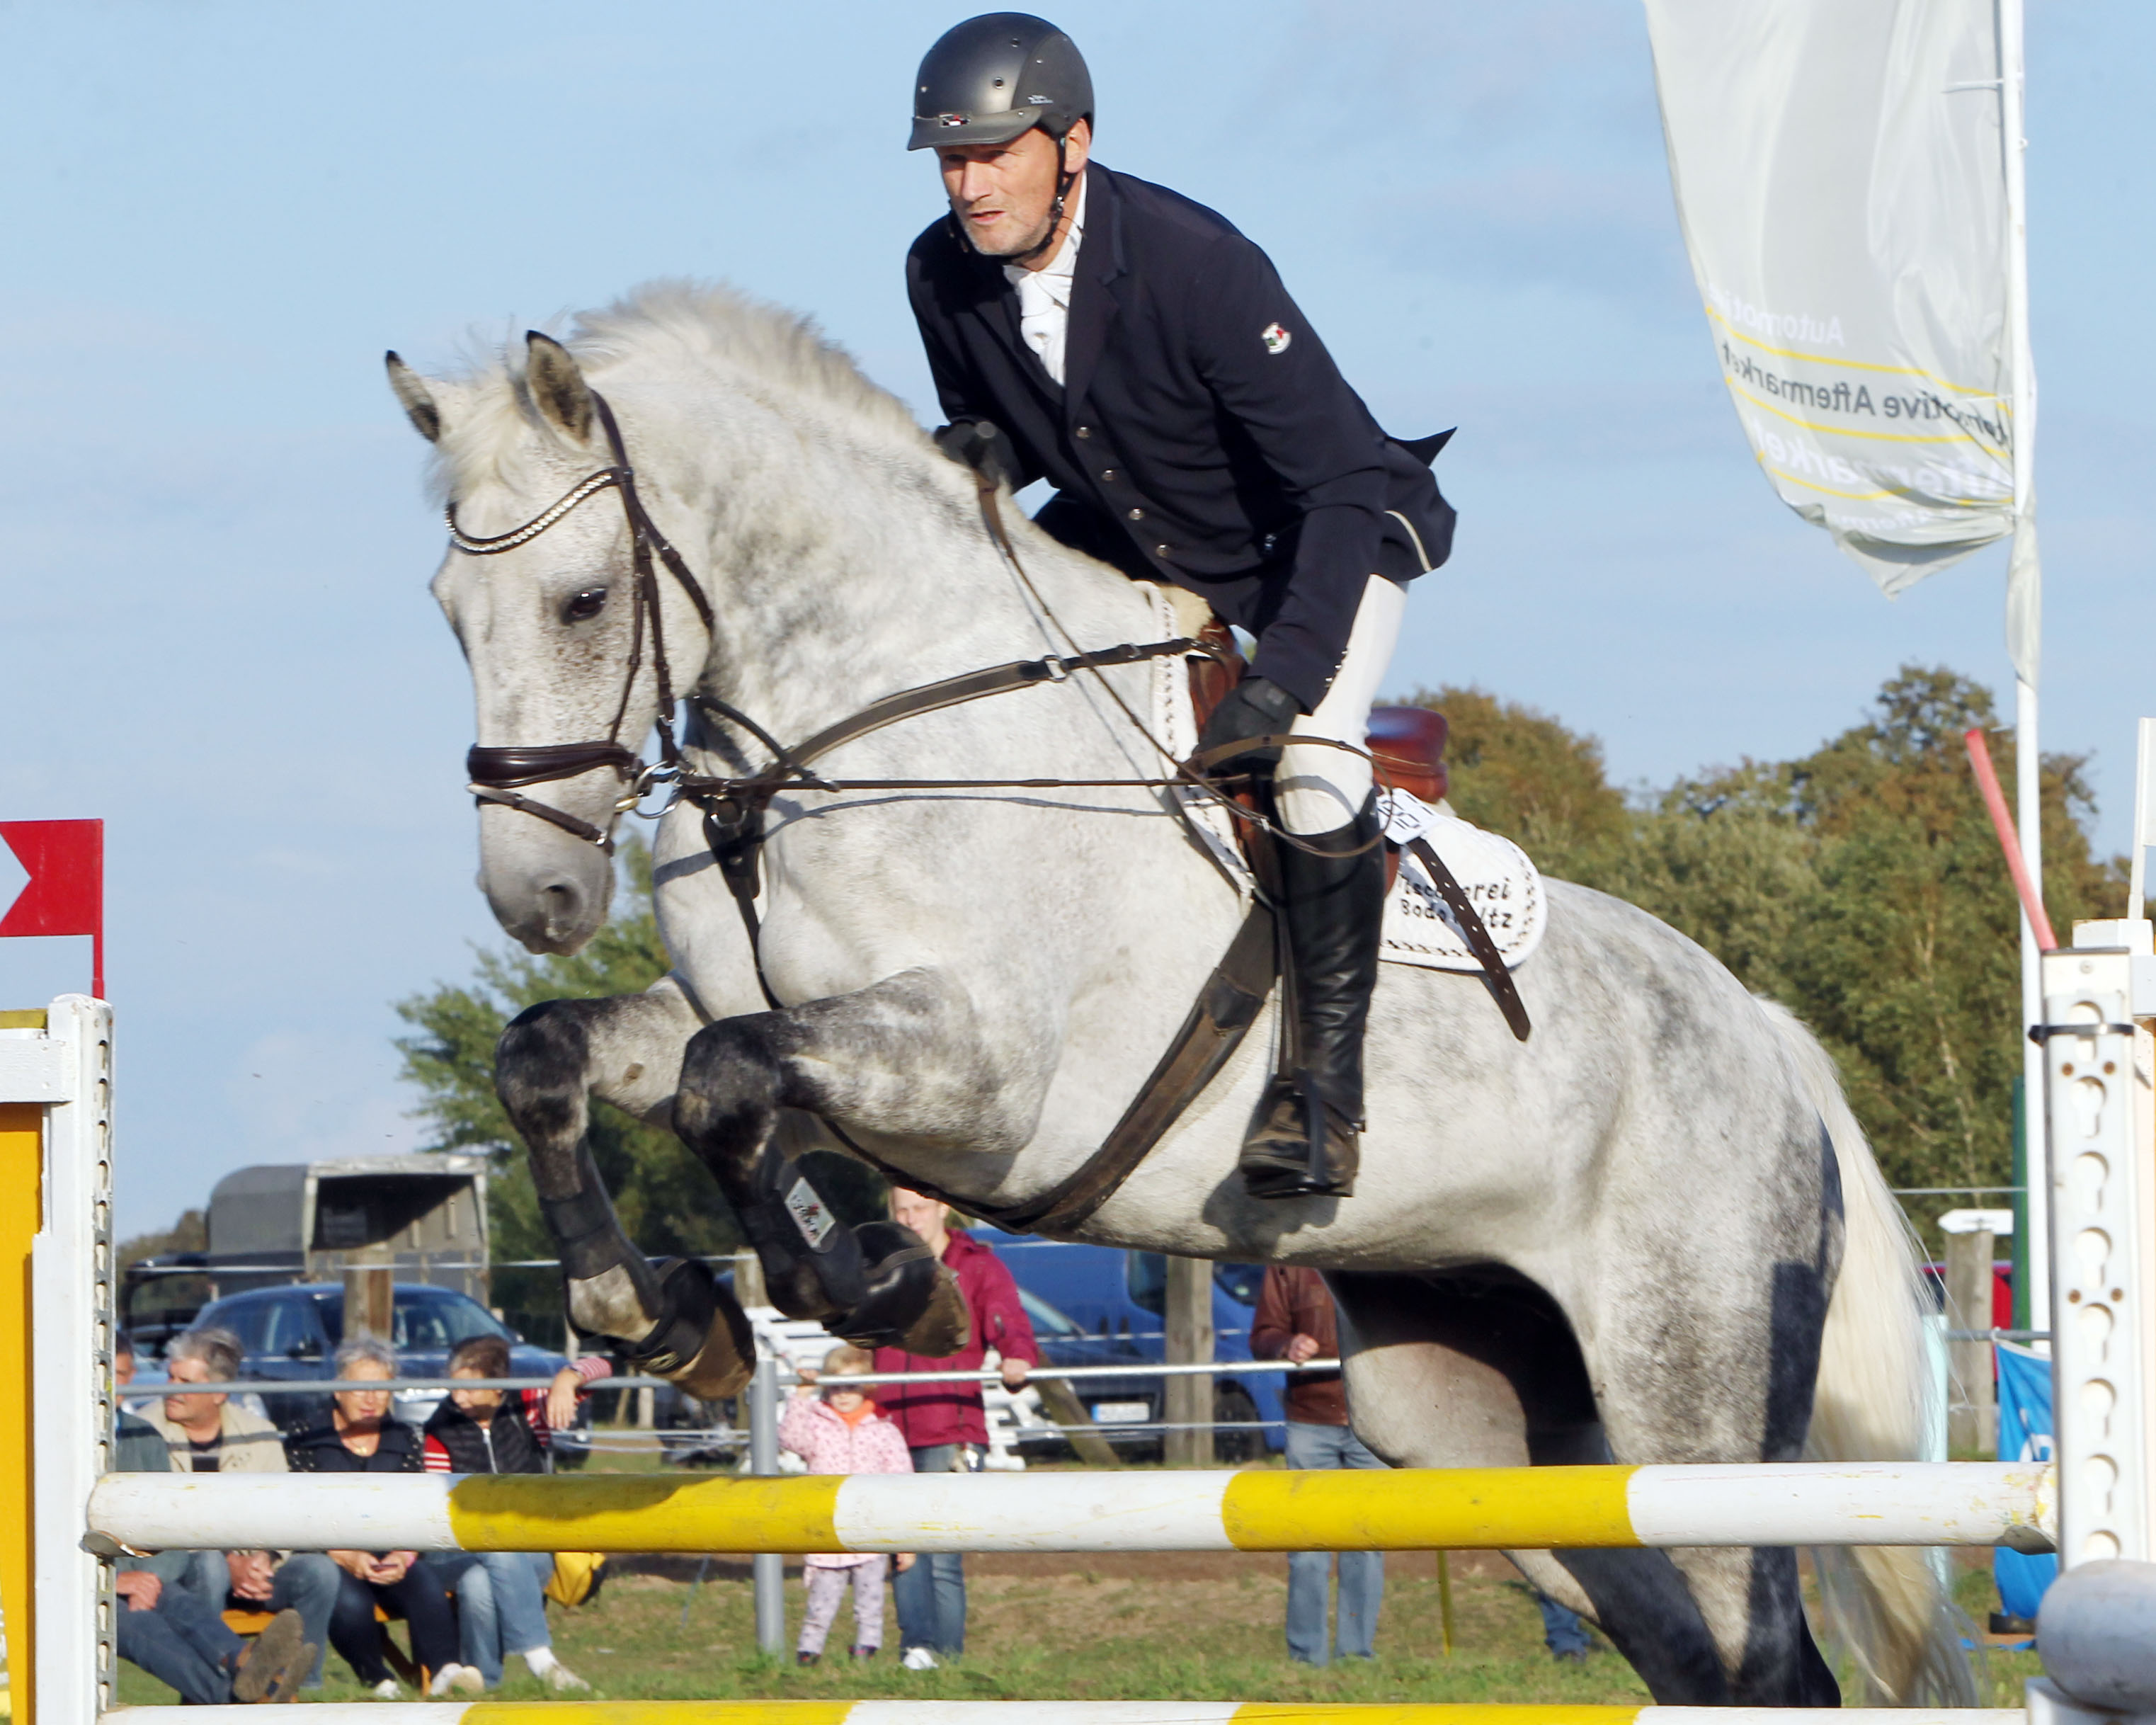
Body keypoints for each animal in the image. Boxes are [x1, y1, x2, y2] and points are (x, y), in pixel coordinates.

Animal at [388, 280, 1975, 1699]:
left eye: (582, 600)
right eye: (446, 611)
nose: (535, 895)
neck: (851, 733)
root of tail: (1766, 1036)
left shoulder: (979, 1076)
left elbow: (733, 1085)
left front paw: (889, 1291)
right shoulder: (767, 1027)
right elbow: (566, 1059)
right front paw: (658, 1311)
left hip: (1687, 1389)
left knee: (1764, 1651)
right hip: (1483, 1428)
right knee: (1692, 1652)